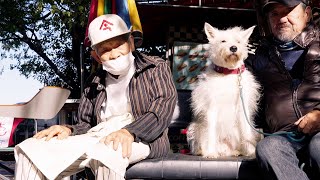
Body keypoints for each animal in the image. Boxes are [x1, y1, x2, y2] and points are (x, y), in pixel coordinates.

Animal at [186, 22, 262, 158]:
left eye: (238, 41)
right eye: (223, 41)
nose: (233, 48)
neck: (228, 73)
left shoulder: (243, 108)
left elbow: (247, 132)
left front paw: (251, 151)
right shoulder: (211, 107)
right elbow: (211, 131)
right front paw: (211, 153)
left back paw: (237, 151)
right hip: (193, 128)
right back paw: (203, 151)